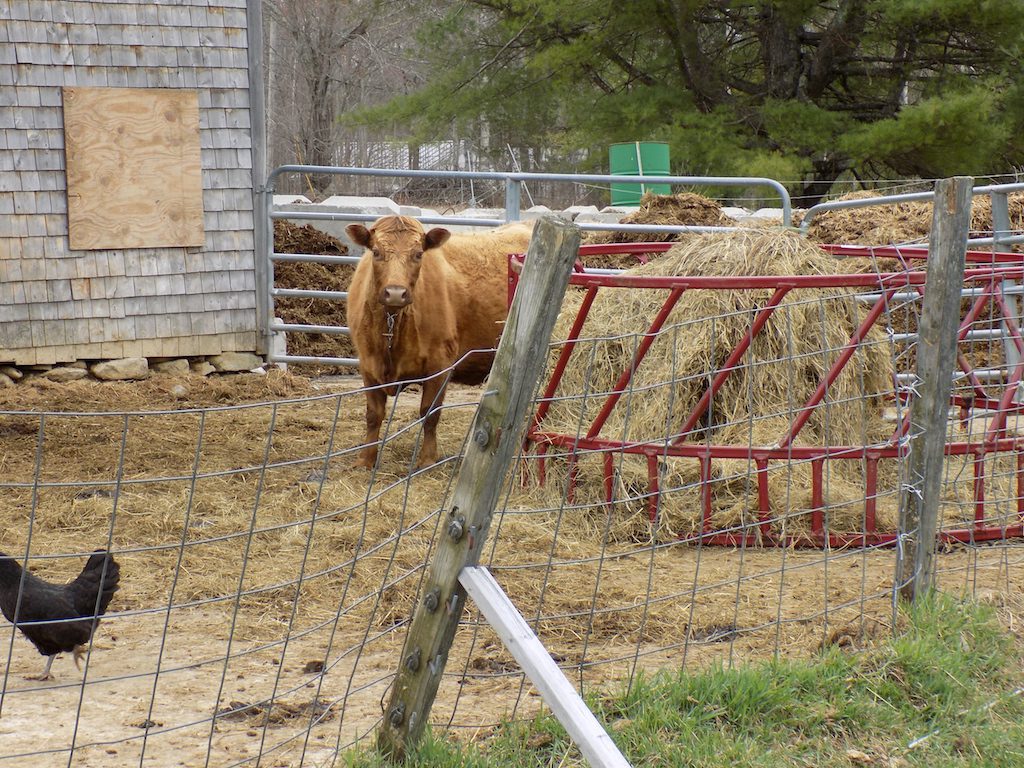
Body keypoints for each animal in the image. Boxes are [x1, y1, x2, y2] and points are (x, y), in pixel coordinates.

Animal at [346, 215, 532, 468]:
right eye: (376, 252)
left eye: (418, 254)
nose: (395, 293)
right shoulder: (367, 365)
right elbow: (373, 415)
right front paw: (365, 460)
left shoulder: (440, 365)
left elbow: (430, 413)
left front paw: (427, 459)